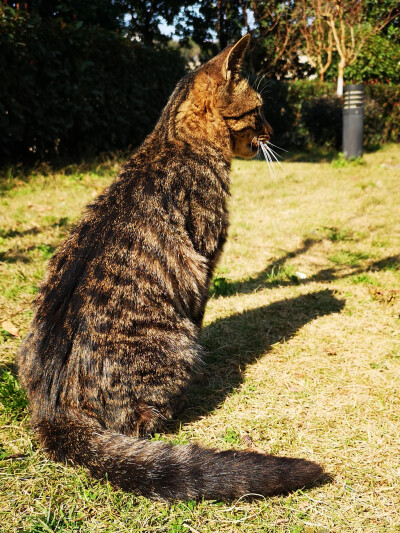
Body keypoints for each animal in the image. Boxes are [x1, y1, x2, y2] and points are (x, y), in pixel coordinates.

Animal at [18, 35, 324, 500]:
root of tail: (51, 412)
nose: (274, 133)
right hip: (174, 346)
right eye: (259, 111)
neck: (171, 140)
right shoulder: (206, 261)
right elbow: (200, 316)